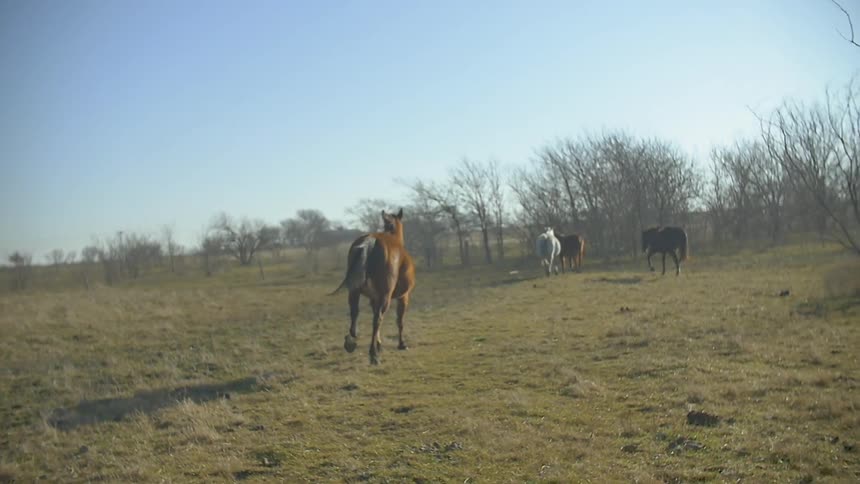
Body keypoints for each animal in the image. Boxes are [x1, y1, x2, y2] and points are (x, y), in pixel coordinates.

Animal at [330, 209, 416, 365]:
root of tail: (370, 242)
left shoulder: (373, 299)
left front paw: (379, 344)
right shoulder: (403, 297)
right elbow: (399, 321)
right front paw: (401, 344)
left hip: (354, 291)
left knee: (355, 313)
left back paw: (351, 342)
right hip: (386, 297)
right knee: (377, 320)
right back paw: (373, 355)